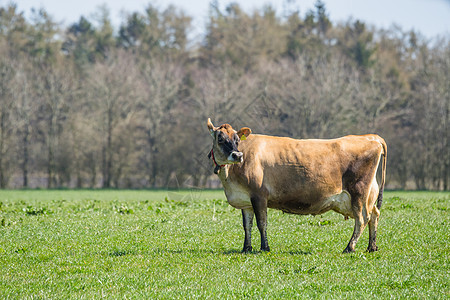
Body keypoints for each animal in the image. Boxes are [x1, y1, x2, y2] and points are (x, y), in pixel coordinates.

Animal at [207, 118, 386, 253]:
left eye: (237, 140)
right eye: (220, 138)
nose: (237, 155)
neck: (230, 178)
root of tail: (371, 137)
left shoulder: (259, 195)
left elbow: (261, 223)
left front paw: (265, 248)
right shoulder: (245, 200)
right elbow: (247, 225)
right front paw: (246, 248)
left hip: (359, 192)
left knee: (362, 219)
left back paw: (349, 247)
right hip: (369, 194)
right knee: (374, 214)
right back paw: (371, 247)